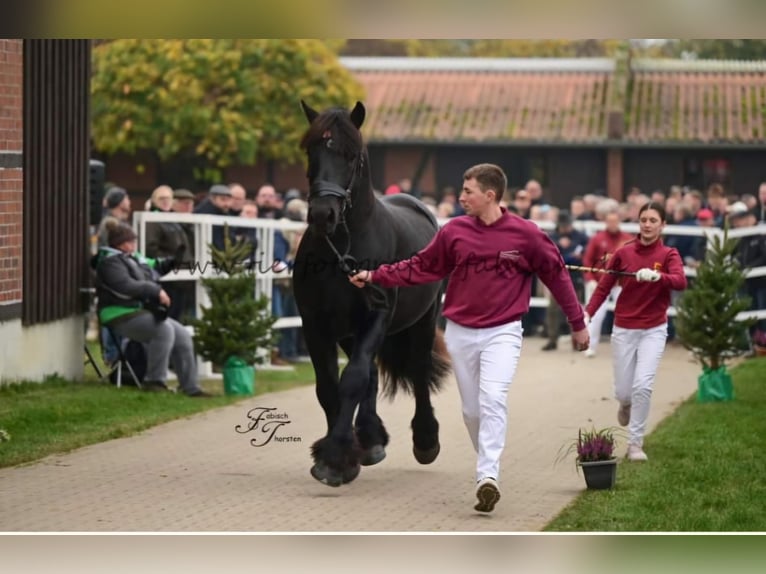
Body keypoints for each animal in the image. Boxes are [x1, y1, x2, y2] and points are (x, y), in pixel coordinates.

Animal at [292, 101, 450, 488]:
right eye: (311, 150)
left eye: (351, 156)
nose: (323, 214)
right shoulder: (315, 324)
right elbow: (329, 386)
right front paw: (342, 457)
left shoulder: (375, 317)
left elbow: (352, 380)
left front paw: (335, 457)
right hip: (349, 333)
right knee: (373, 374)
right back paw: (371, 439)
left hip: (423, 320)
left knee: (417, 369)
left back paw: (425, 439)